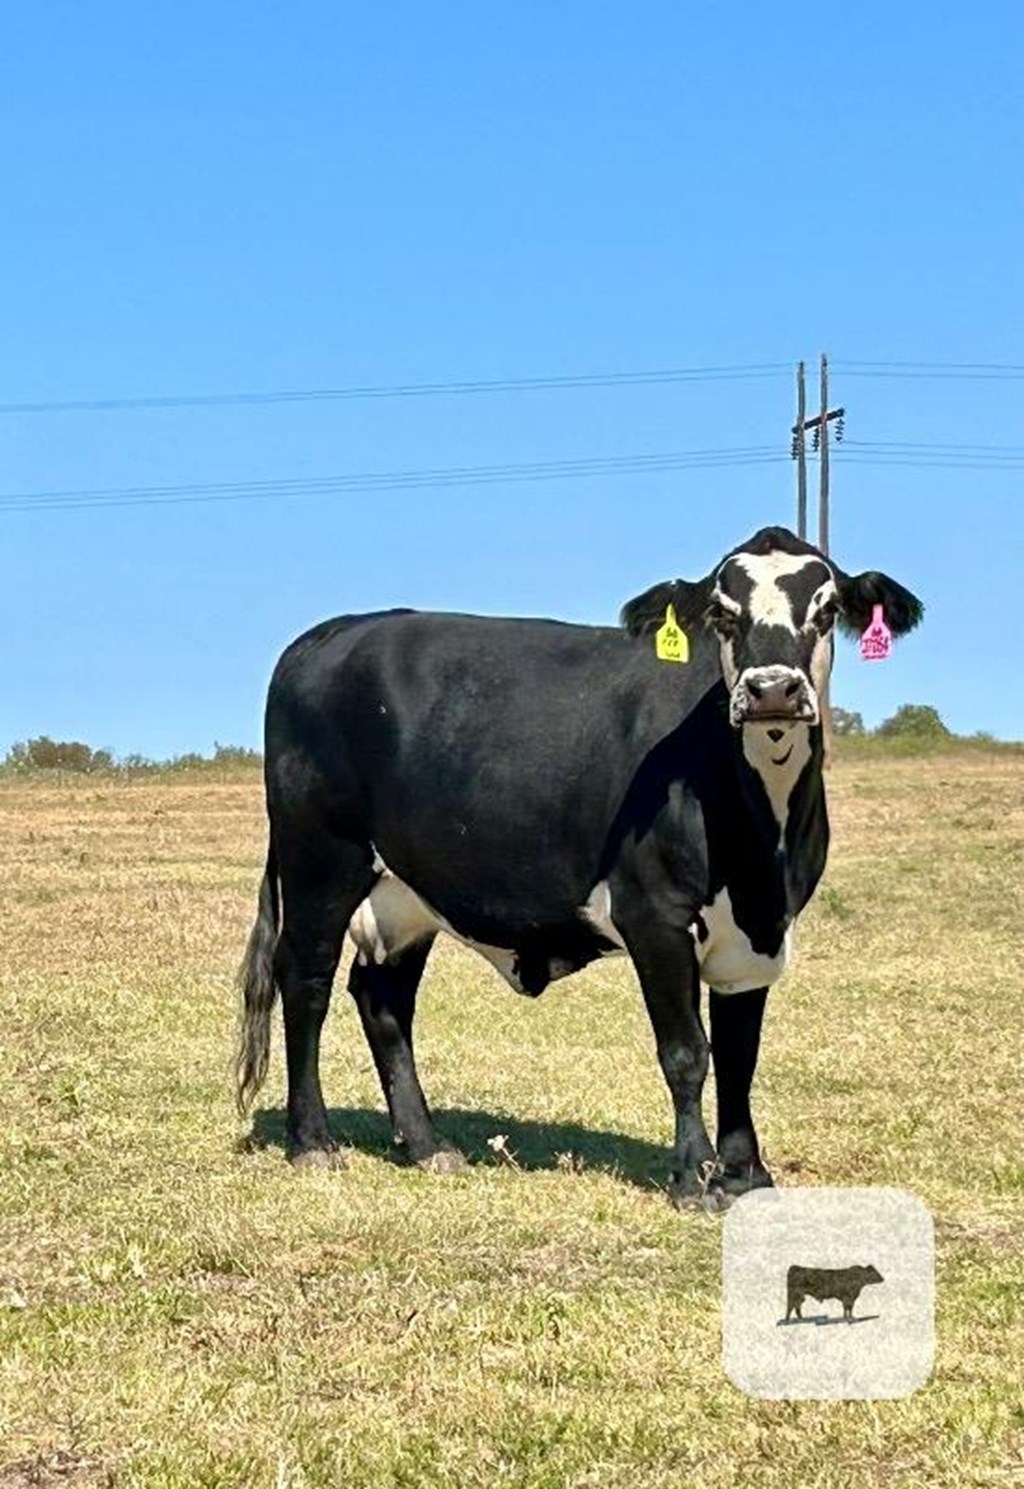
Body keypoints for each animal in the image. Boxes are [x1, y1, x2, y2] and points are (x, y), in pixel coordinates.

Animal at [236, 530, 922, 1203]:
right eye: (723, 614)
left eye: (826, 610)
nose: (771, 690)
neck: (758, 844)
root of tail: (331, 633)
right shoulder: (654, 915)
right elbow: (686, 1051)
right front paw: (695, 1178)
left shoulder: (760, 931)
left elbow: (739, 1055)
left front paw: (747, 1173)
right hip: (320, 859)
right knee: (306, 981)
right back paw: (313, 1142)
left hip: (406, 890)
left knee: (383, 998)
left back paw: (429, 1146)